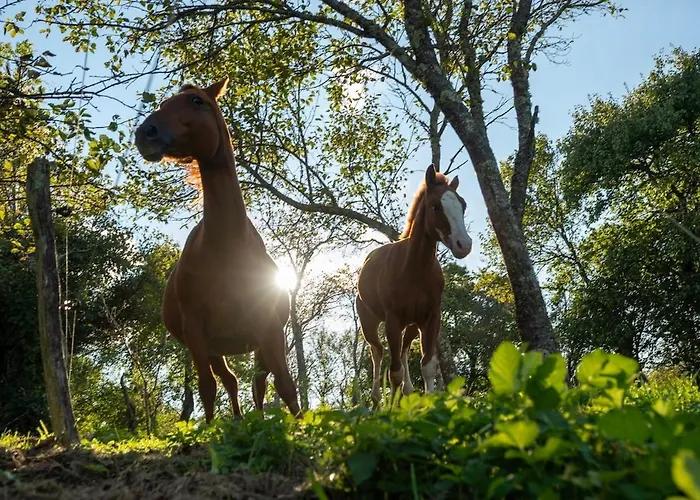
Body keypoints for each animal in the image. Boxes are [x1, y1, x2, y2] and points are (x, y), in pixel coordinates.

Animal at [134, 78, 301, 422]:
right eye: (164, 102)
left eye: (197, 101)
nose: (146, 132)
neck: (227, 249)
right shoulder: (197, 333)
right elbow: (207, 388)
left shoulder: (269, 328)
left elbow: (285, 384)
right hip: (214, 349)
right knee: (231, 381)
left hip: (257, 345)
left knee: (257, 383)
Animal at [356, 164, 472, 407]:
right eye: (436, 206)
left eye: (463, 205)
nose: (463, 245)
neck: (414, 270)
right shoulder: (393, 321)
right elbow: (394, 373)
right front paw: (391, 409)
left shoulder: (431, 318)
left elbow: (427, 366)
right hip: (370, 323)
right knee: (377, 352)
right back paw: (376, 399)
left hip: (410, 325)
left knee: (404, 351)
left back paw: (407, 392)